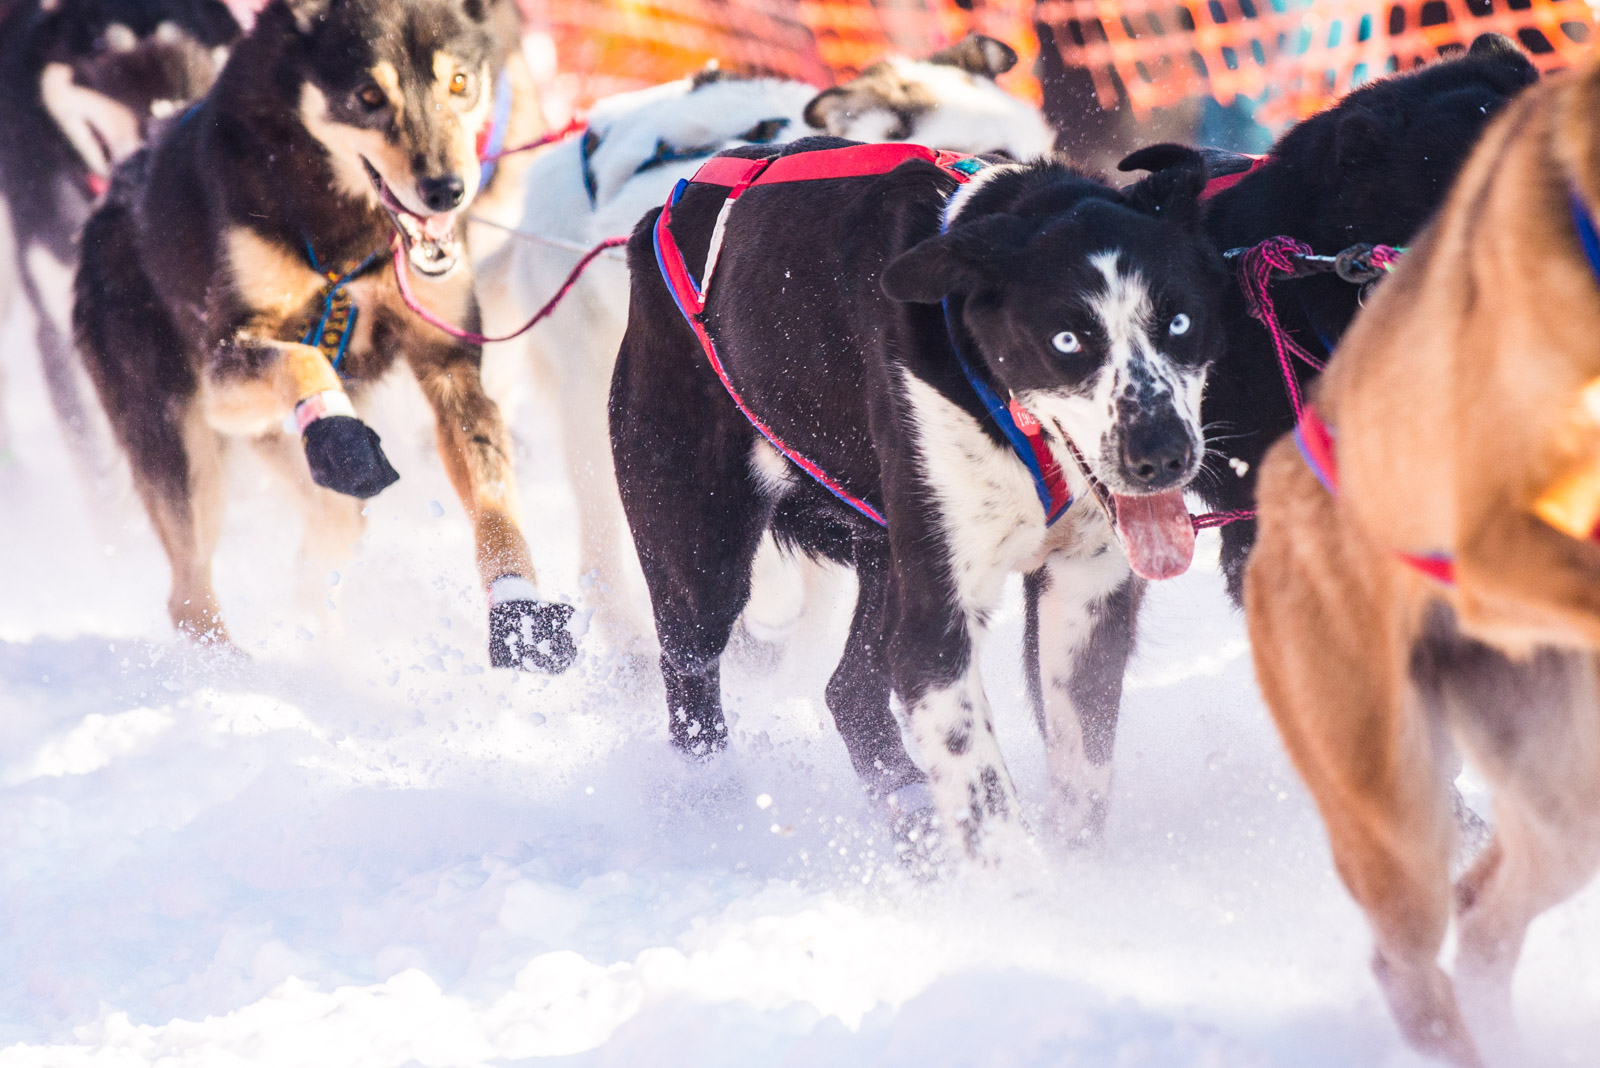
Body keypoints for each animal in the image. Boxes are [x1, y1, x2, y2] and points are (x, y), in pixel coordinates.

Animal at [76, 0, 582, 668]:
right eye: (368, 95)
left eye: (458, 83)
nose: (446, 190)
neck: (349, 233)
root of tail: (121, 183)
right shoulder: (226, 364)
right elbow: (302, 362)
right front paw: (338, 435)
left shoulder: (451, 367)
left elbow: (494, 497)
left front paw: (519, 613)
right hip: (184, 449)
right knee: (189, 594)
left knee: (330, 533)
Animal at [611, 139, 1222, 856]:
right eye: (1067, 340)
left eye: (1179, 321)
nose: (1162, 455)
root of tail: (665, 212)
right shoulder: (938, 625)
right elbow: (987, 801)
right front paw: (1029, 886)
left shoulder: (1084, 594)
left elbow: (1082, 775)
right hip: (702, 557)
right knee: (692, 680)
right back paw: (716, 811)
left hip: (887, 554)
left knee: (849, 690)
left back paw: (909, 811)